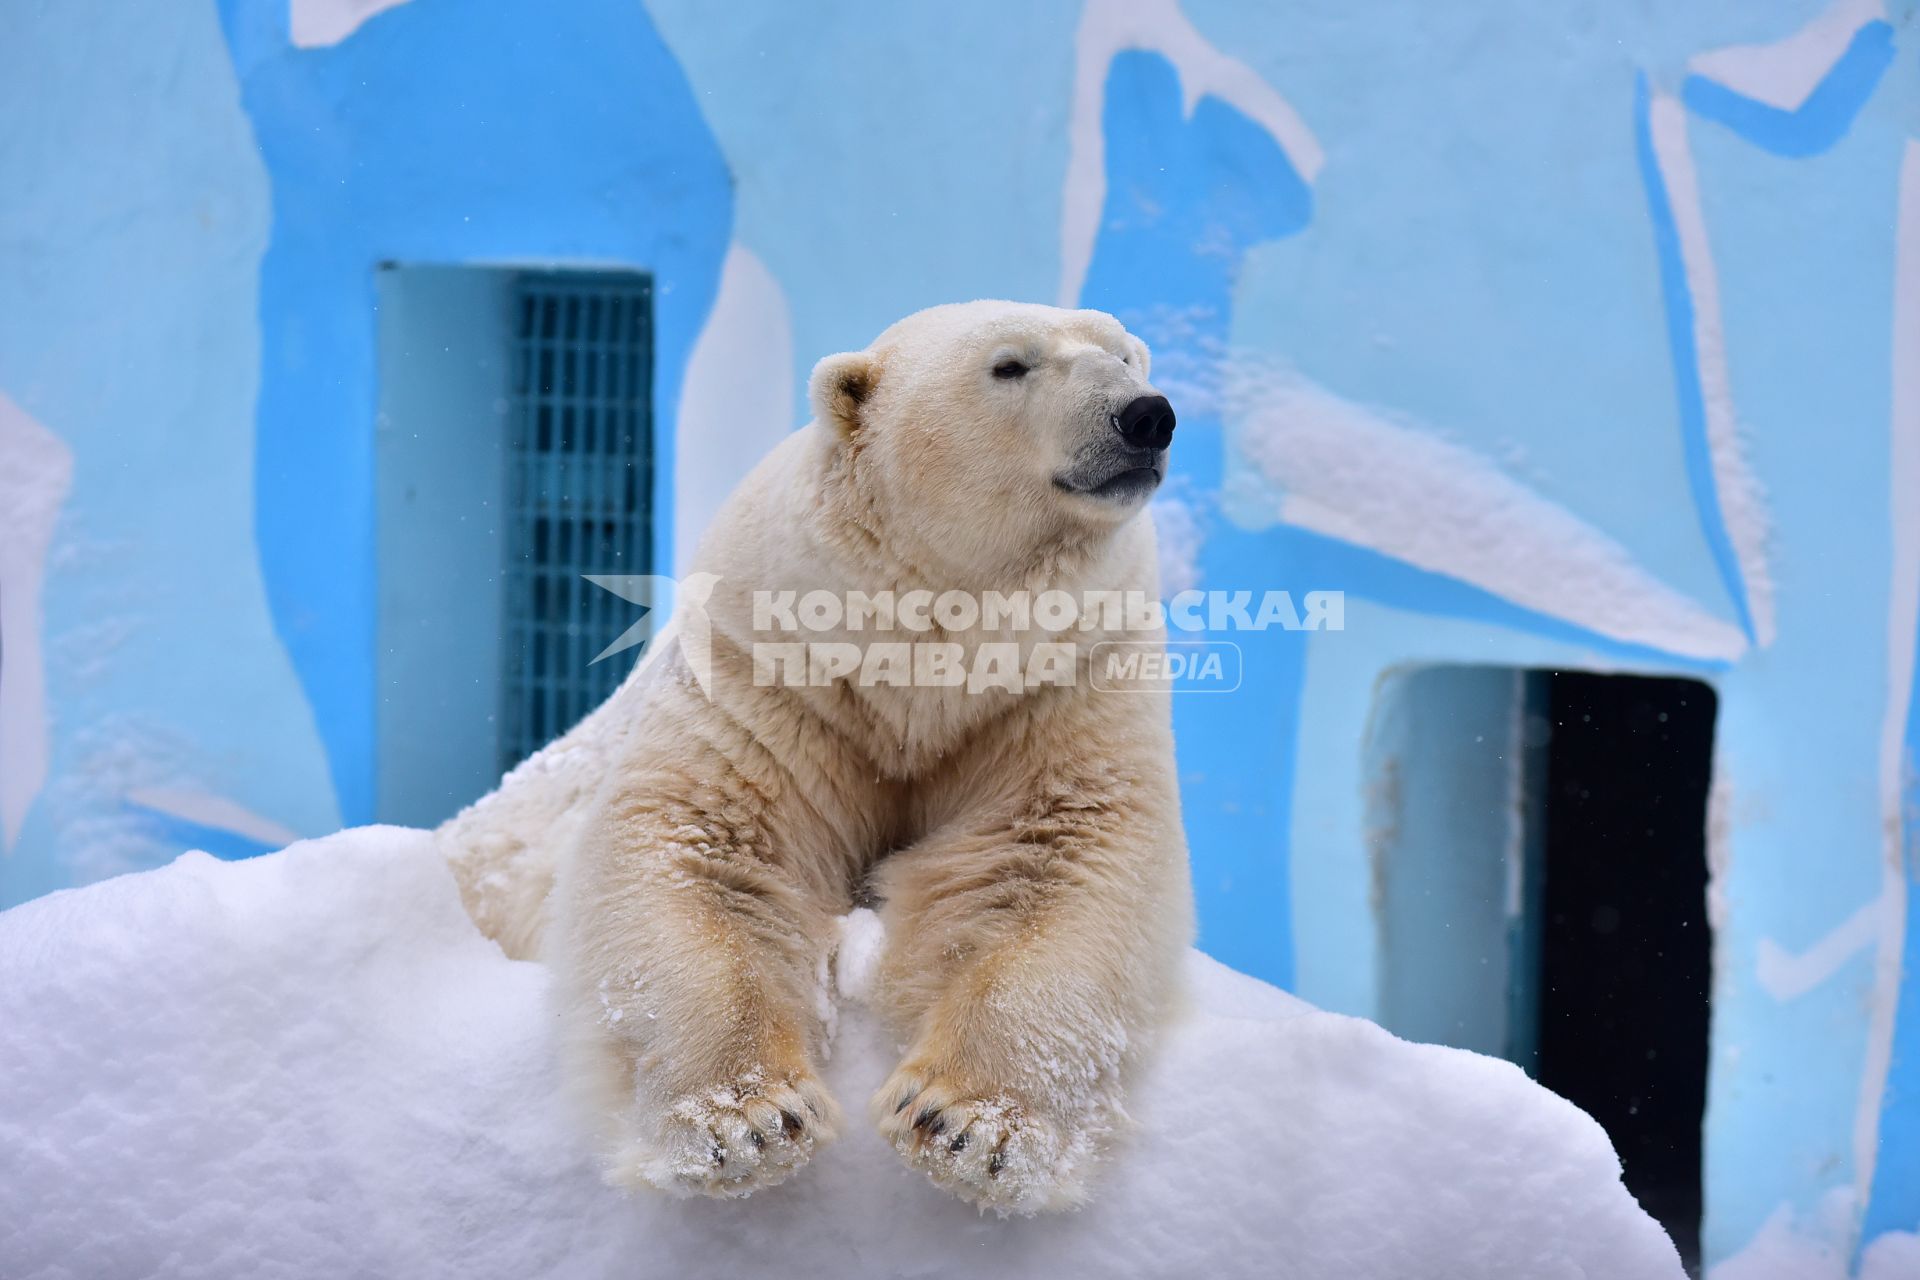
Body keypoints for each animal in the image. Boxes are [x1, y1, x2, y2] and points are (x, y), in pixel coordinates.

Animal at [441, 301, 1190, 1212]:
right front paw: (747, 1121)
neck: (915, 670)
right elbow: (699, 853)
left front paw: (970, 1127)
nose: (1146, 416)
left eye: (1125, 355)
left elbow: (1060, 859)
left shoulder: (1057, 686)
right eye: (1010, 365)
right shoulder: (769, 677)